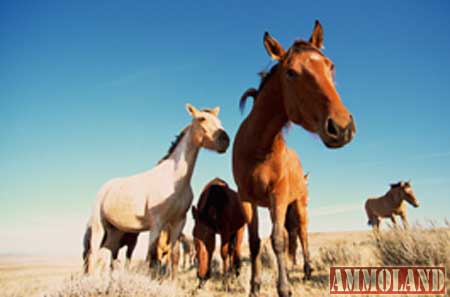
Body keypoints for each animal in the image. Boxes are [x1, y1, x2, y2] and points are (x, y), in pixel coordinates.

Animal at [81, 103, 229, 272]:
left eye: (219, 120)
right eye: (202, 118)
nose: (225, 140)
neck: (174, 179)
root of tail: (104, 188)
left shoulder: (178, 222)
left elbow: (173, 255)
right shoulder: (157, 224)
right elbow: (152, 258)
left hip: (115, 232)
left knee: (106, 254)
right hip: (99, 227)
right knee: (93, 255)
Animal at [232, 20, 356, 296]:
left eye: (330, 65)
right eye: (290, 72)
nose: (342, 127)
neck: (258, 146)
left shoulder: (277, 195)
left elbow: (277, 240)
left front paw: (284, 288)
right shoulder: (247, 198)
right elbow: (255, 242)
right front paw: (254, 286)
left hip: (299, 205)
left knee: (303, 234)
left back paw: (308, 270)